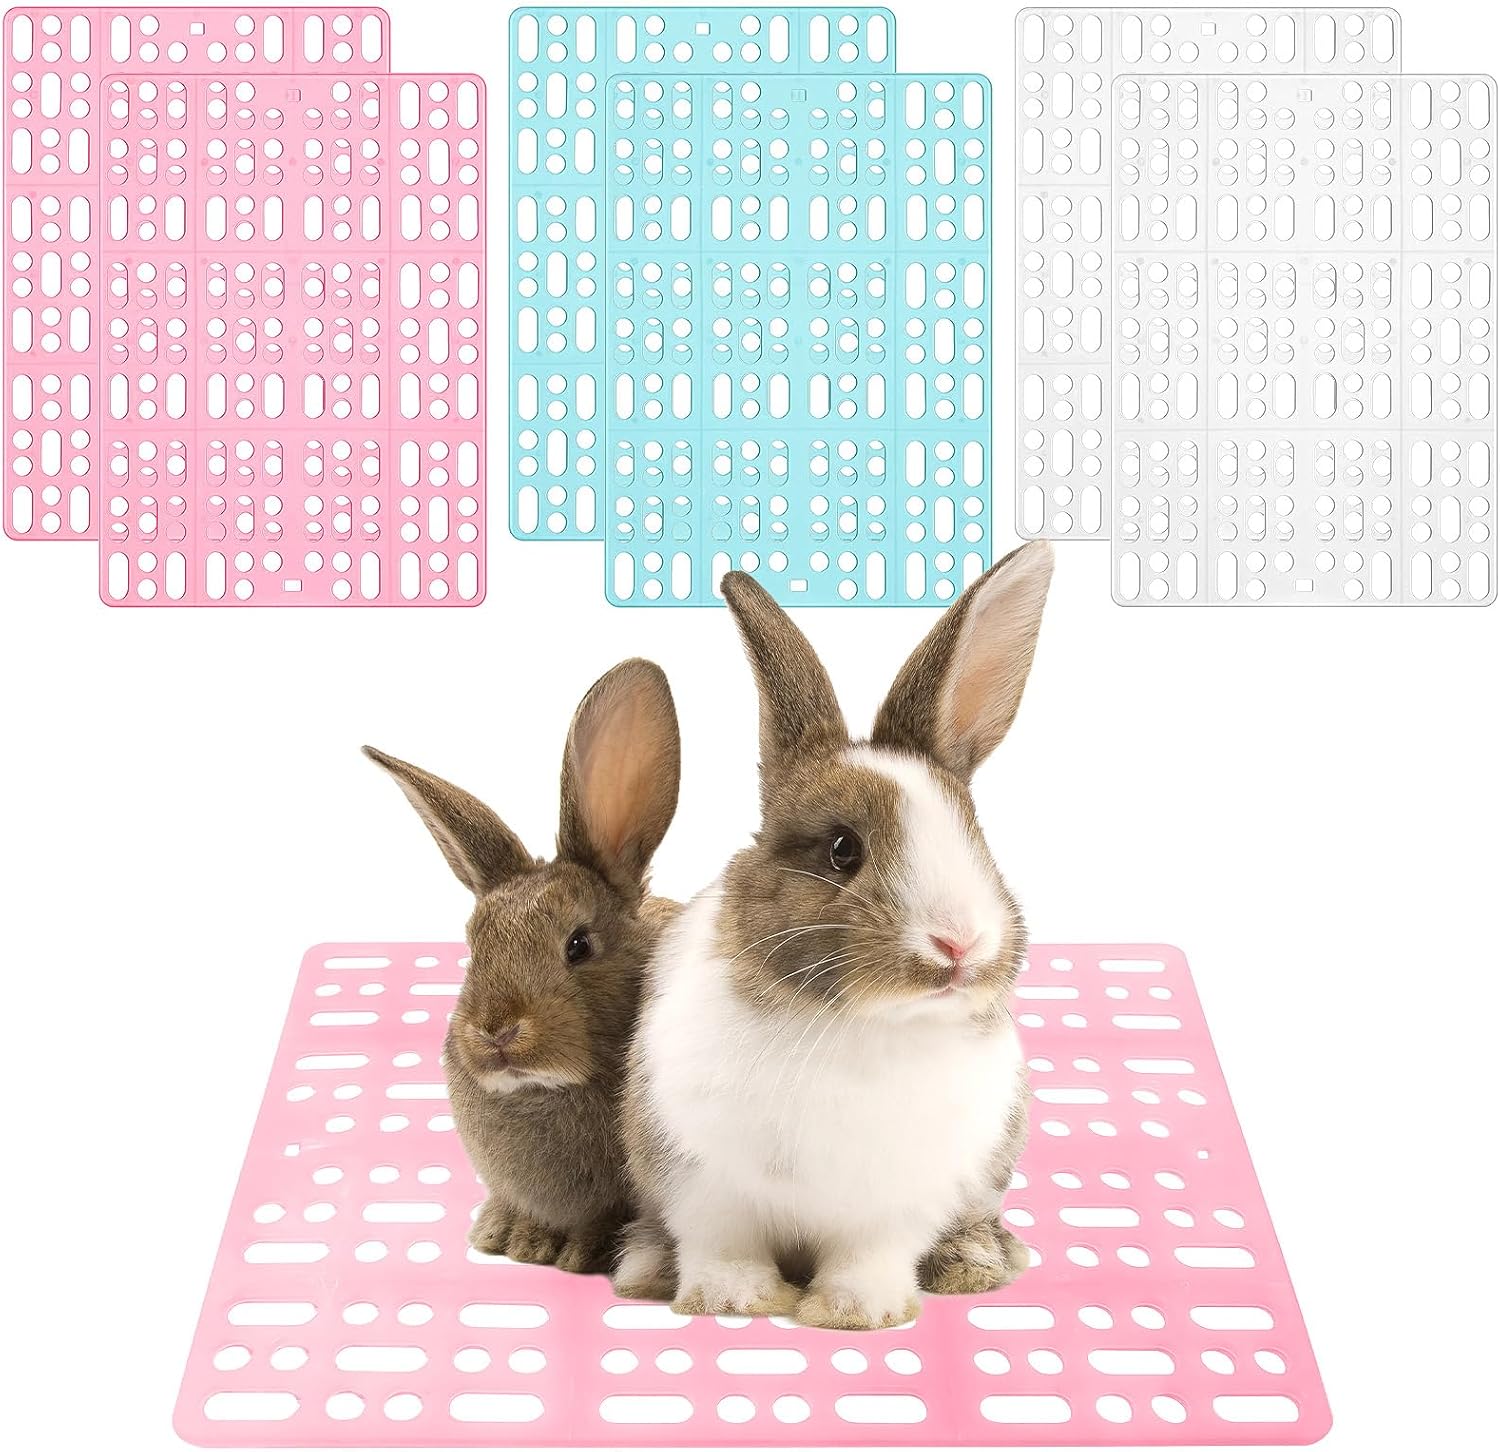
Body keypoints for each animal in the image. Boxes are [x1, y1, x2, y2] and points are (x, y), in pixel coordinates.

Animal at [618, 541, 1054, 1328]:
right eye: (843, 849)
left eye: (976, 839)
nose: (960, 945)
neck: (861, 1025)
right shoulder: (700, 1183)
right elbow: (723, 1247)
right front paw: (733, 1300)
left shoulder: (895, 1204)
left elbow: (870, 1256)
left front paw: (860, 1312)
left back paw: (975, 1262)